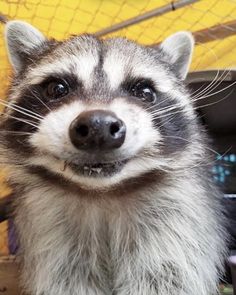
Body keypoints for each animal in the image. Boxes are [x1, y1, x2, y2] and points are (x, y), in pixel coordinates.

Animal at [0, 20, 228, 295]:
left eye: (144, 92)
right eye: (57, 88)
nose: (98, 127)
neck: (102, 192)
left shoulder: (175, 220)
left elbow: (166, 276)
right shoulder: (51, 227)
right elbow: (68, 278)